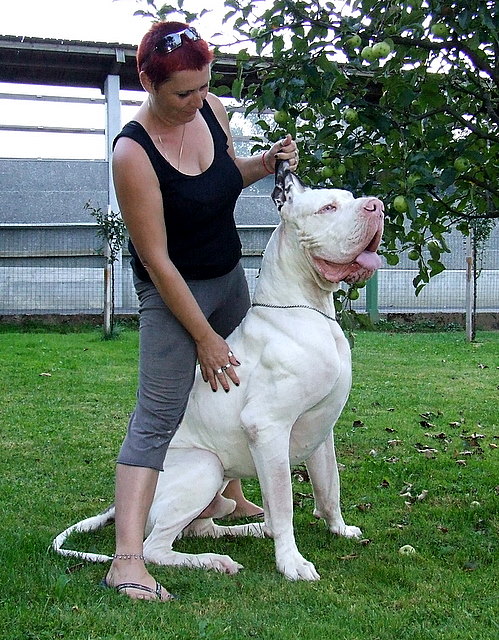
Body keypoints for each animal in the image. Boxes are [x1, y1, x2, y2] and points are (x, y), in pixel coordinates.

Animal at [53, 161, 384, 581]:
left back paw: (250, 531)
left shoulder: (322, 431)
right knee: (155, 548)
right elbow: (285, 503)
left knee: (206, 526)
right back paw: (214, 560)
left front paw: (339, 528)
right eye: (327, 208)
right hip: (205, 467)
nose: (377, 205)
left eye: (351, 198)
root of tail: (118, 506)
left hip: (219, 491)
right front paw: (291, 562)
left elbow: (329, 486)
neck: (307, 308)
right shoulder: (268, 427)